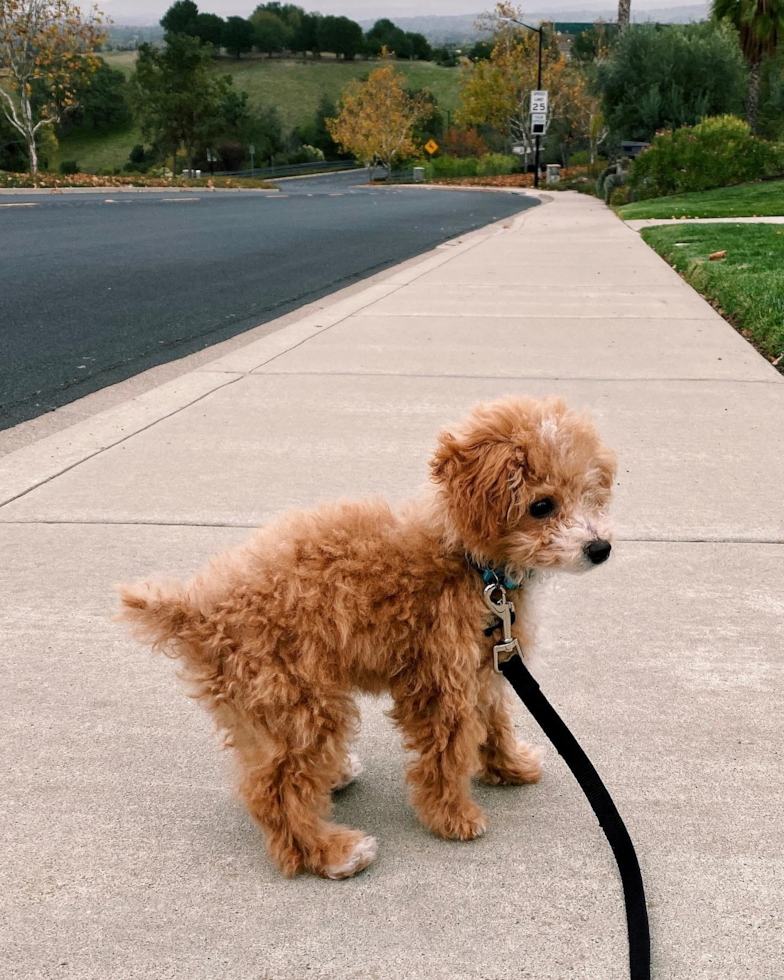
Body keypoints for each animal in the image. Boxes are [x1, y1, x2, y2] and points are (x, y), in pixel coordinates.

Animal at [118, 396, 620, 880]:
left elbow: (494, 719)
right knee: (274, 789)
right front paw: (454, 817)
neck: (474, 563)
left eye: (590, 496)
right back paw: (331, 852)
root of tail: (199, 612)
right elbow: (446, 752)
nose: (600, 548)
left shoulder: (485, 661)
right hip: (297, 699)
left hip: (268, 705)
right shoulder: (441, 679)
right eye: (542, 506)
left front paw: (509, 767)